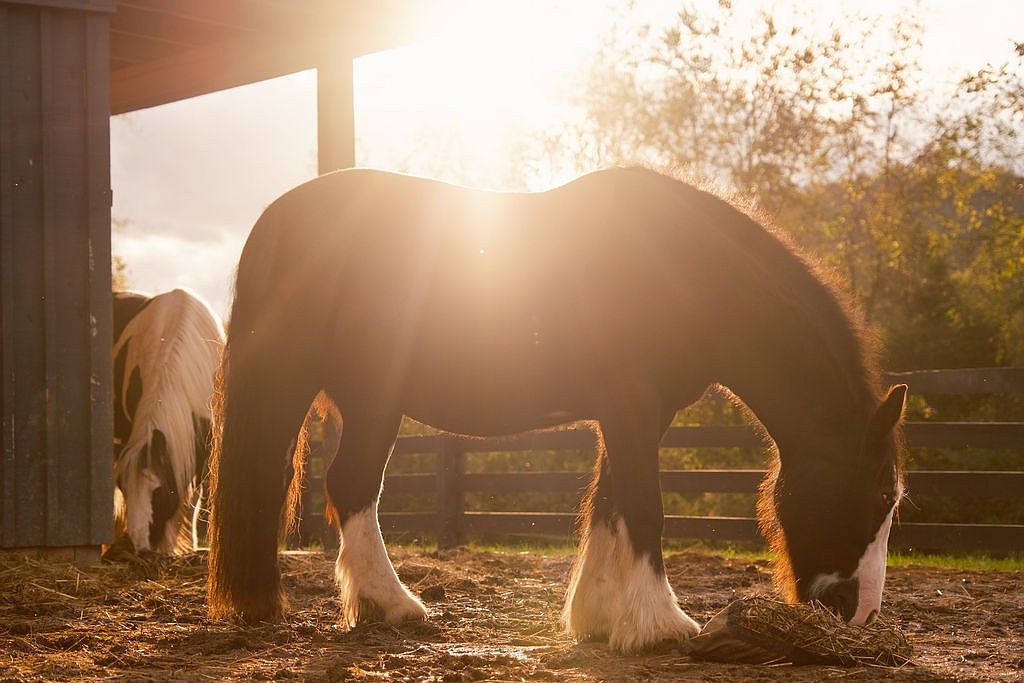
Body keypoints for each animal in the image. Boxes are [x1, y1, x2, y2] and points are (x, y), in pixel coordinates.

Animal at [206, 167, 907, 652]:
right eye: (879, 497)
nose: (861, 611)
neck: (685, 270)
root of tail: (280, 220)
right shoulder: (631, 407)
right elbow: (644, 510)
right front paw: (661, 625)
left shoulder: (634, 416)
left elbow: (608, 506)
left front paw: (595, 618)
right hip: (365, 397)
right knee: (347, 485)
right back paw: (396, 606)